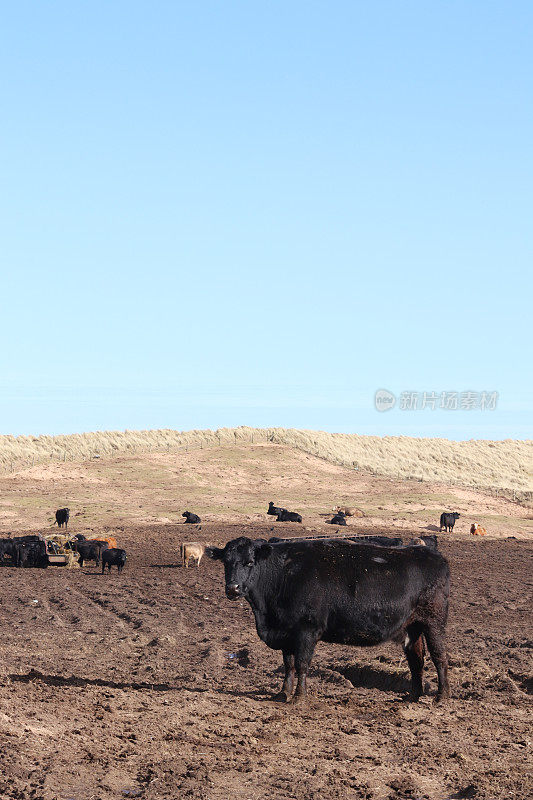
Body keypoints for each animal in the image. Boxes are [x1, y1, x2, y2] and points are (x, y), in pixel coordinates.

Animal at [207, 536, 448, 704]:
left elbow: (302, 664)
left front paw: (299, 698)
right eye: (226, 562)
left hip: (434, 622)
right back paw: (412, 696)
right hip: (413, 626)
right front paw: (282, 694)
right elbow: (288, 665)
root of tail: (432, 555)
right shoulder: (286, 632)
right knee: (416, 660)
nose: (232, 588)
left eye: (249, 562)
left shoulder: (306, 630)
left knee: (439, 656)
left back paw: (441, 697)